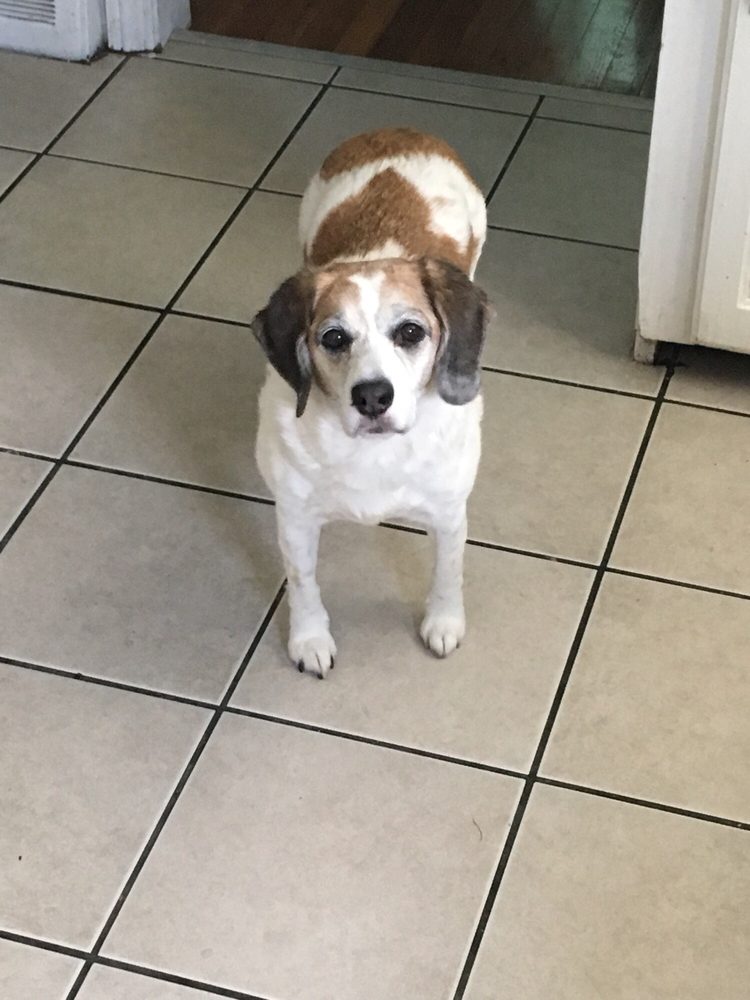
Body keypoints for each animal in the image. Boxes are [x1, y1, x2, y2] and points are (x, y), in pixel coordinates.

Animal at [252, 127, 489, 678]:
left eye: (411, 332)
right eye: (334, 337)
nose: (373, 396)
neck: (372, 454)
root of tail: (398, 131)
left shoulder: (448, 511)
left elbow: (448, 571)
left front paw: (444, 622)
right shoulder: (294, 516)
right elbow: (303, 583)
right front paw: (309, 638)